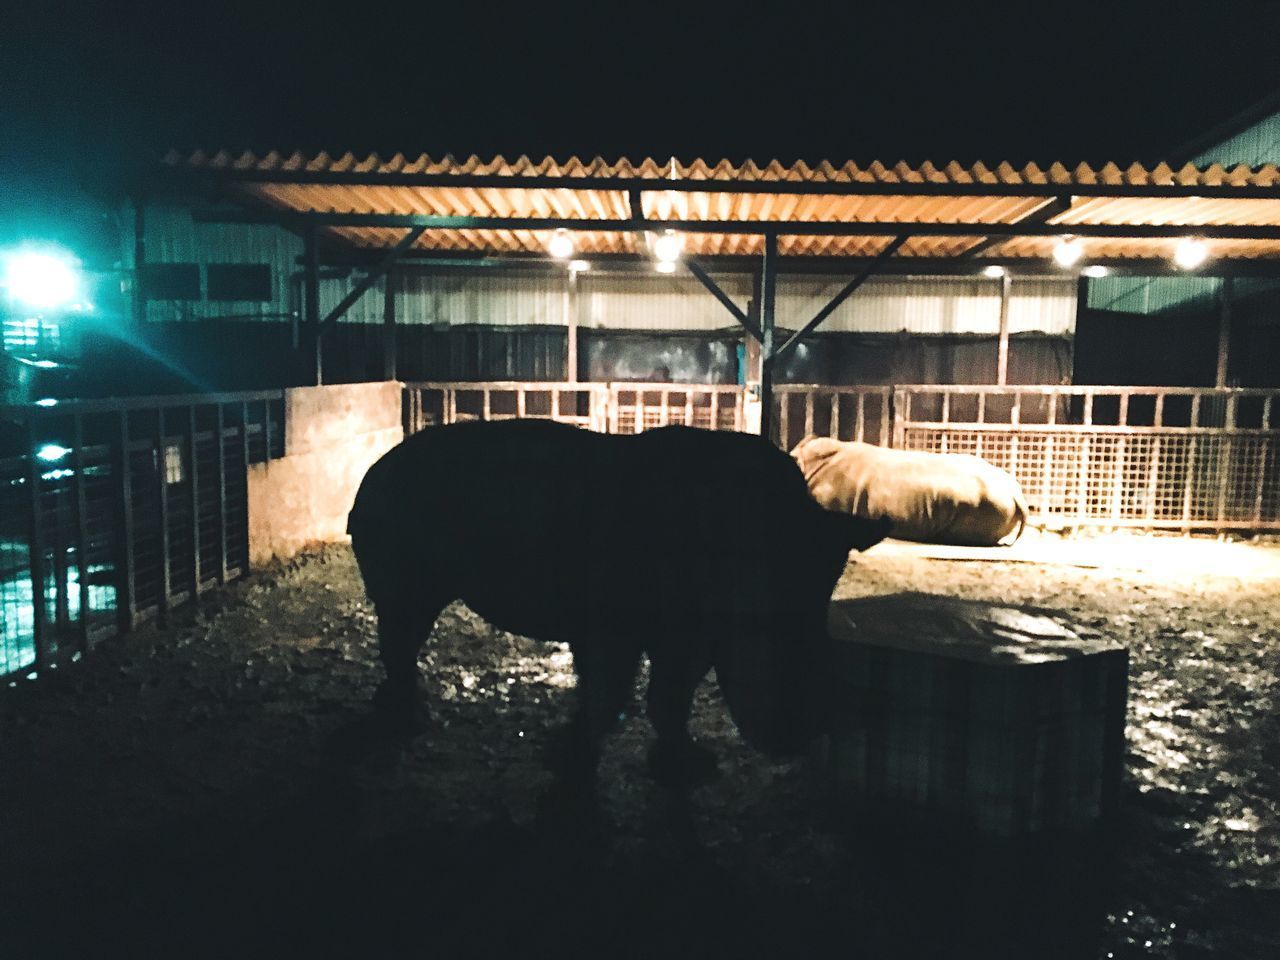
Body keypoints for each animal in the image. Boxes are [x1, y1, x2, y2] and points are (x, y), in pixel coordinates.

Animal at [350, 424, 890, 783]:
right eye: (759, 626)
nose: (805, 731)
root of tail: (371, 472)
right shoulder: (620, 622)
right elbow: (612, 689)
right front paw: (572, 759)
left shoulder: (691, 630)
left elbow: (672, 693)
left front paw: (687, 766)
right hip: (403, 542)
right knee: (403, 627)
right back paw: (409, 721)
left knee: (401, 632)